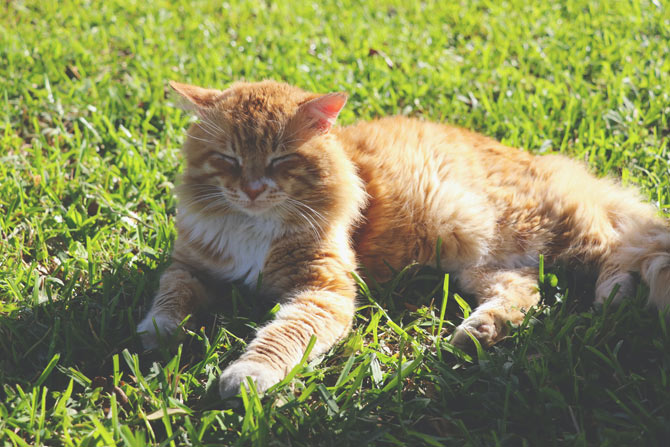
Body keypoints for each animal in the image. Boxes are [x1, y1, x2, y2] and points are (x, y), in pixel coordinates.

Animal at [136, 79, 670, 400]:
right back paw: (477, 333)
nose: (250, 189)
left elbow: (281, 337)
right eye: (227, 158)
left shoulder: (322, 291)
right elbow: (170, 294)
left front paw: (248, 376)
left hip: (552, 236)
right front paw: (157, 330)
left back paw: (613, 297)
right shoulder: (192, 265)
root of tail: (549, 163)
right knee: (527, 294)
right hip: (479, 264)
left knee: (619, 250)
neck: (253, 225)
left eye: (280, 160)